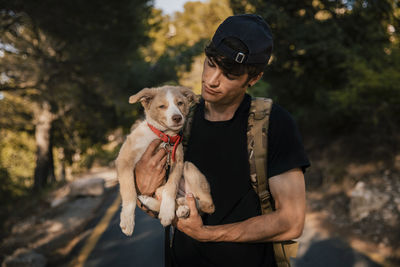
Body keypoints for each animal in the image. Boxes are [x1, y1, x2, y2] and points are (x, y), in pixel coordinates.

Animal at [115, 85, 216, 237]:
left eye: (180, 103)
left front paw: (167, 211)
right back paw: (179, 207)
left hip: (188, 166)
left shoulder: (178, 162)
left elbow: (171, 186)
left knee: (209, 204)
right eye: (162, 106)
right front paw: (127, 220)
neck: (163, 137)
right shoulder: (124, 160)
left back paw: (183, 204)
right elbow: (129, 192)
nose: (177, 118)